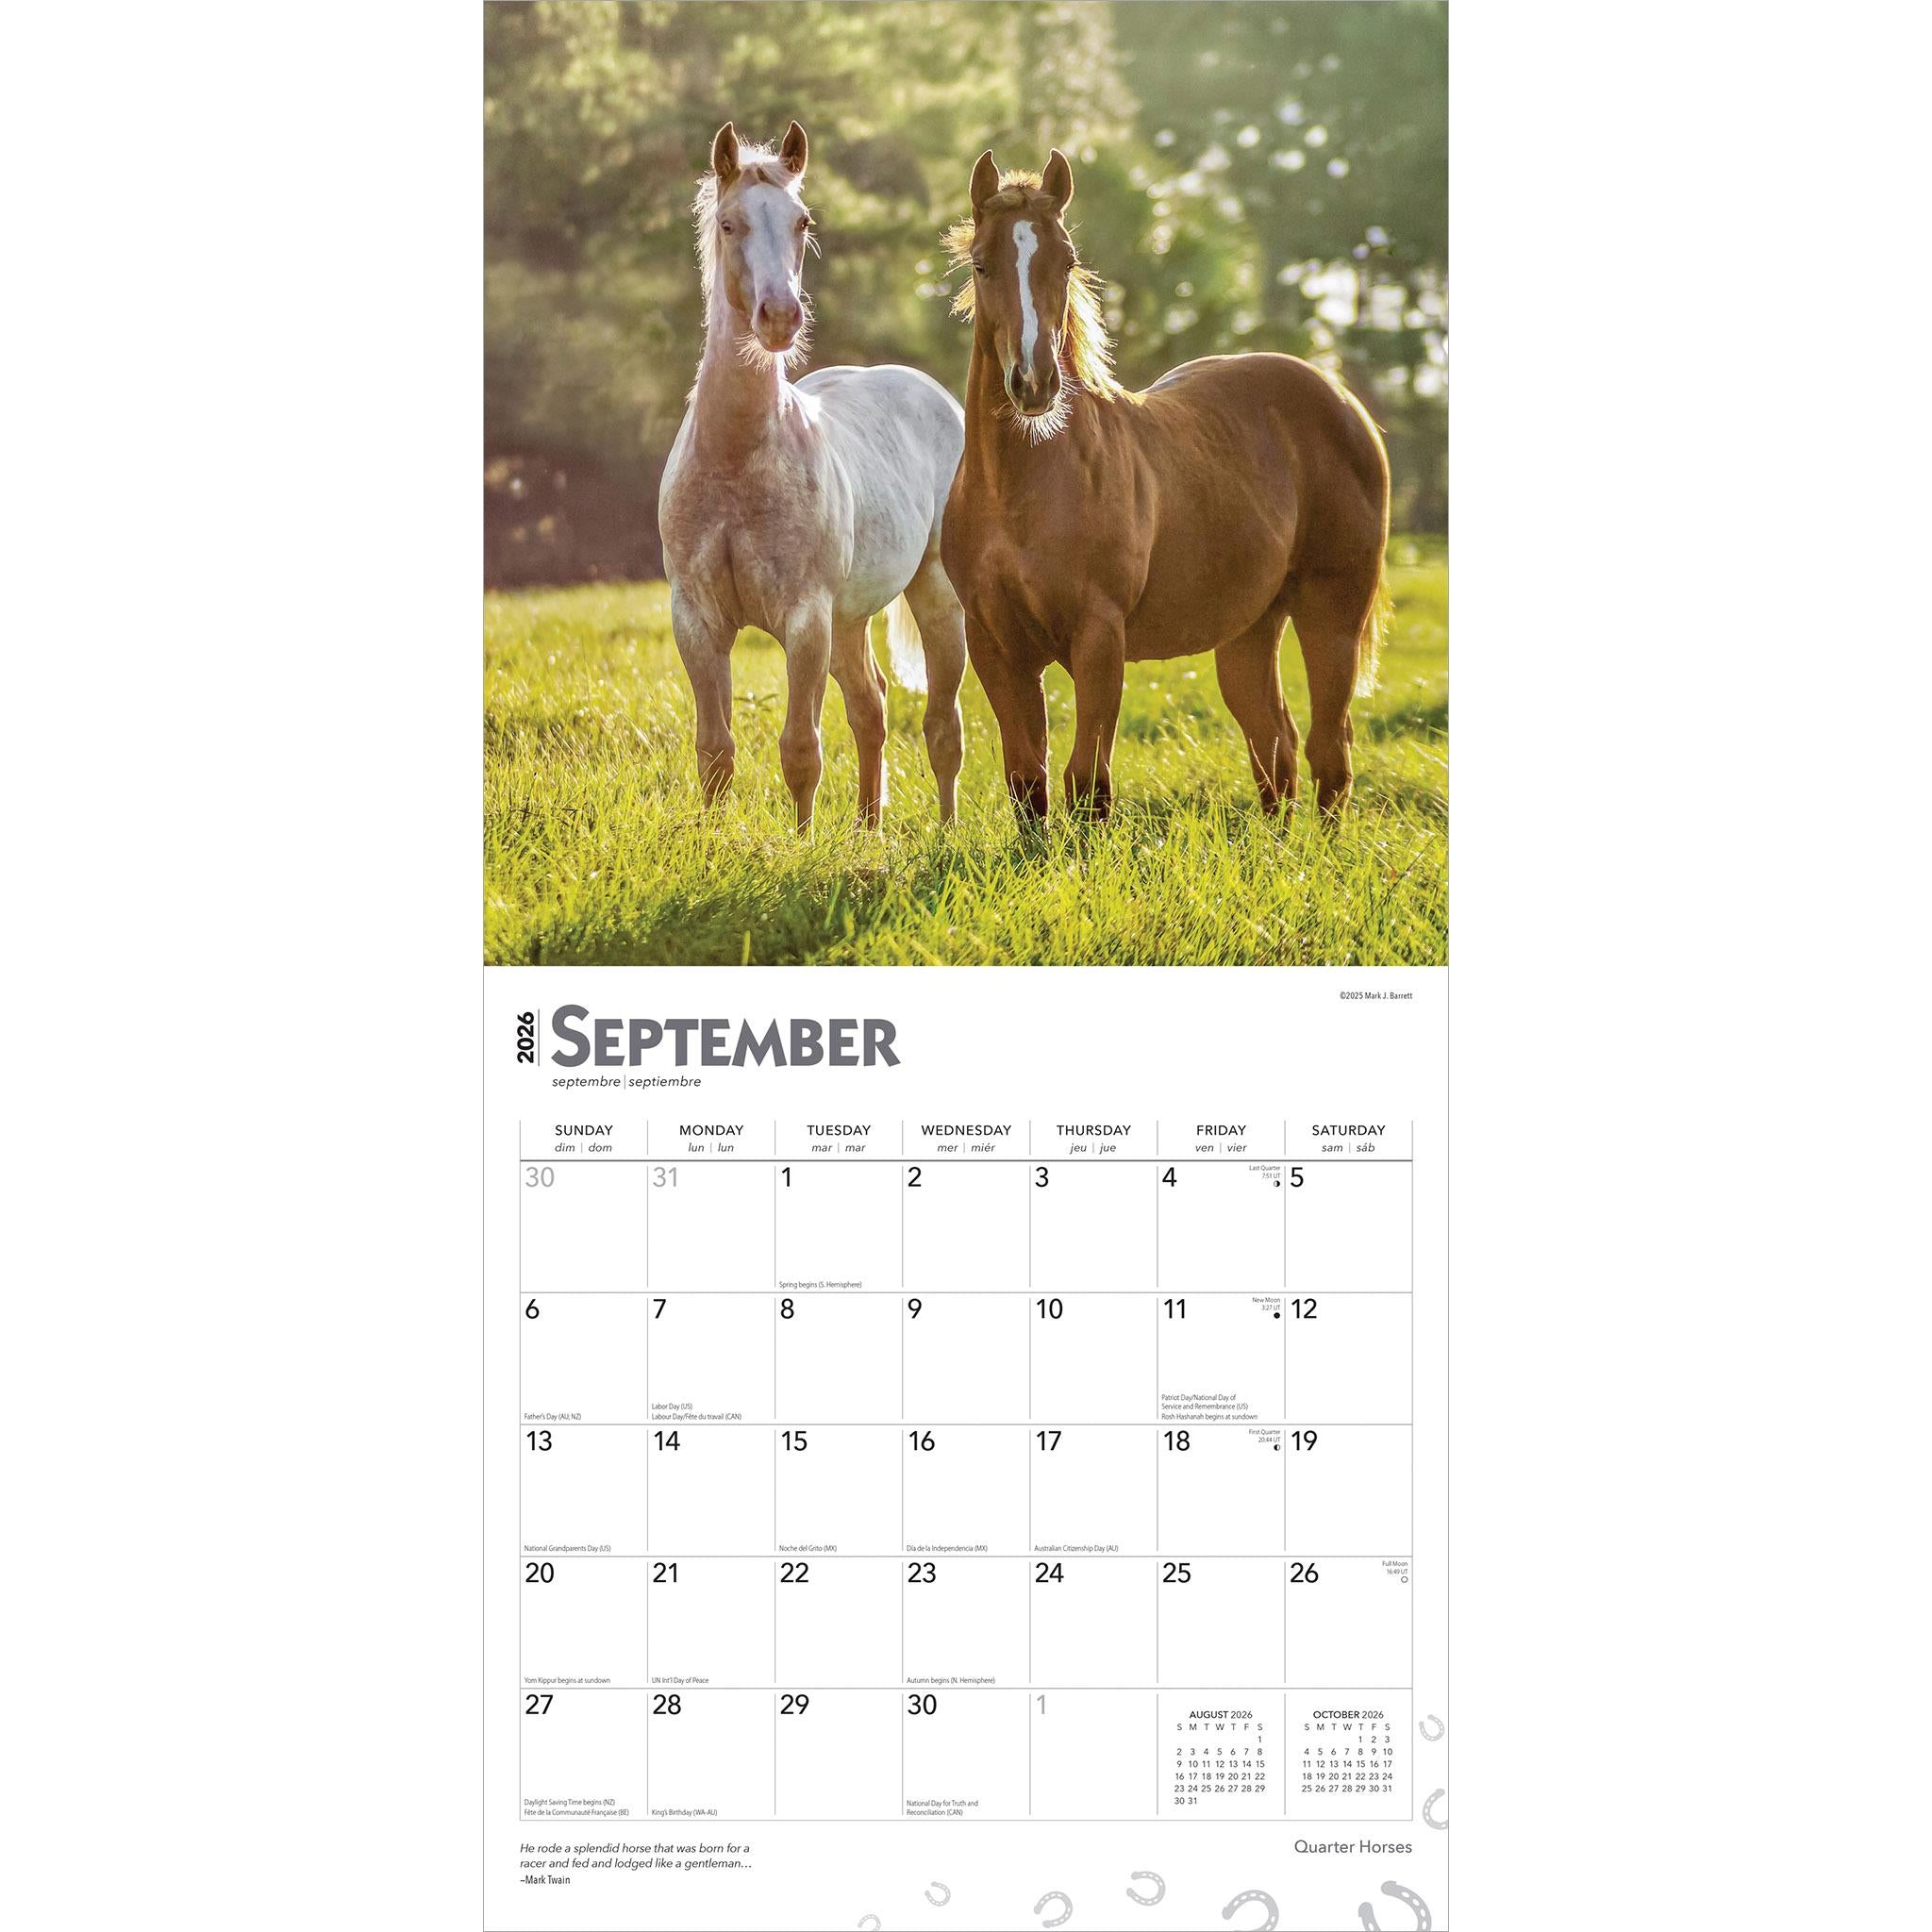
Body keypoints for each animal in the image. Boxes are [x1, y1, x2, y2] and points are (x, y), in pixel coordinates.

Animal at [658, 121, 969, 830]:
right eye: (729, 224)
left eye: (801, 222)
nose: (780, 317)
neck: (736, 463)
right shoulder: (698, 621)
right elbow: (715, 751)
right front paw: (713, 842)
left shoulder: (805, 621)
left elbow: (801, 750)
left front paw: (800, 846)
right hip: (849, 623)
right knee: (871, 710)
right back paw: (867, 830)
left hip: (935, 593)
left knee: (943, 726)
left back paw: (944, 832)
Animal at [939, 148, 1392, 822]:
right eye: (980, 262)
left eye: (1066, 260)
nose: (1035, 383)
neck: (1018, 491)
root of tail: (1341, 399)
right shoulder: (995, 645)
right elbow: (1028, 785)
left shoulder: (1100, 639)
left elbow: (1087, 785)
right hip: (1249, 630)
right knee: (1275, 751)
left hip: (1331, 614)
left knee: (1328, 753)